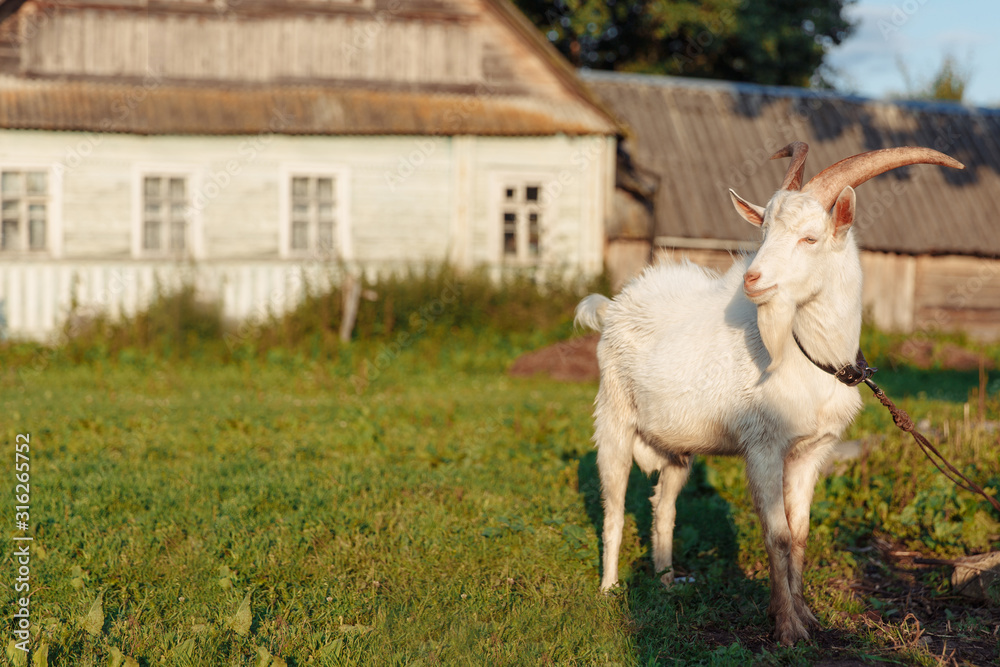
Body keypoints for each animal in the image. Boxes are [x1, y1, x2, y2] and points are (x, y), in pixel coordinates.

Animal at [575, 142, 963, 645]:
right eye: (763, 232)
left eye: (810, 238)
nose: (753, 280)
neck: (809, 356)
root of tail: (614, 307)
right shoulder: (763, 446)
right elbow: (776, 534)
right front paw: (787, 629)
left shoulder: (811, 451)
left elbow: (799, 532)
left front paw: (808, 616)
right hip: (614, 420)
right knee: (615, 506)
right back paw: (608, 589)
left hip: (678, 449)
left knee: (664, 506)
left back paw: (666, 583)